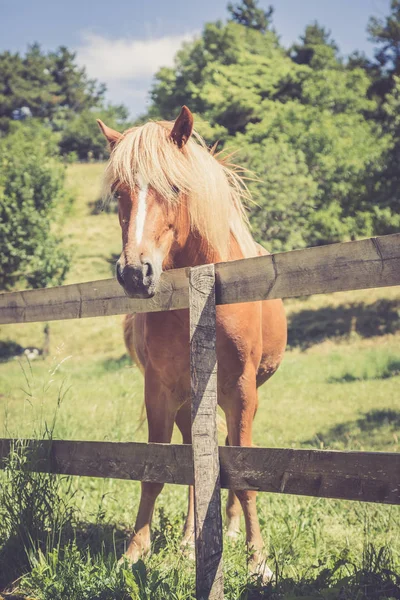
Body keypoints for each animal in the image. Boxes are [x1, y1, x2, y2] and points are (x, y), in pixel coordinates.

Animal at [98, 105, 286, 580]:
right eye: (119, 191)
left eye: (174, 186)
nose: (135, 273)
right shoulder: (160, 390)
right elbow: (156, 470)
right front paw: (135, 552)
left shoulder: (241, 390)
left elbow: (245, 474)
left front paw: (259, 560)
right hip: (188, 402)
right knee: (192, 462)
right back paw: (187, 541)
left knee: (231, 454)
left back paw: (232, 532)